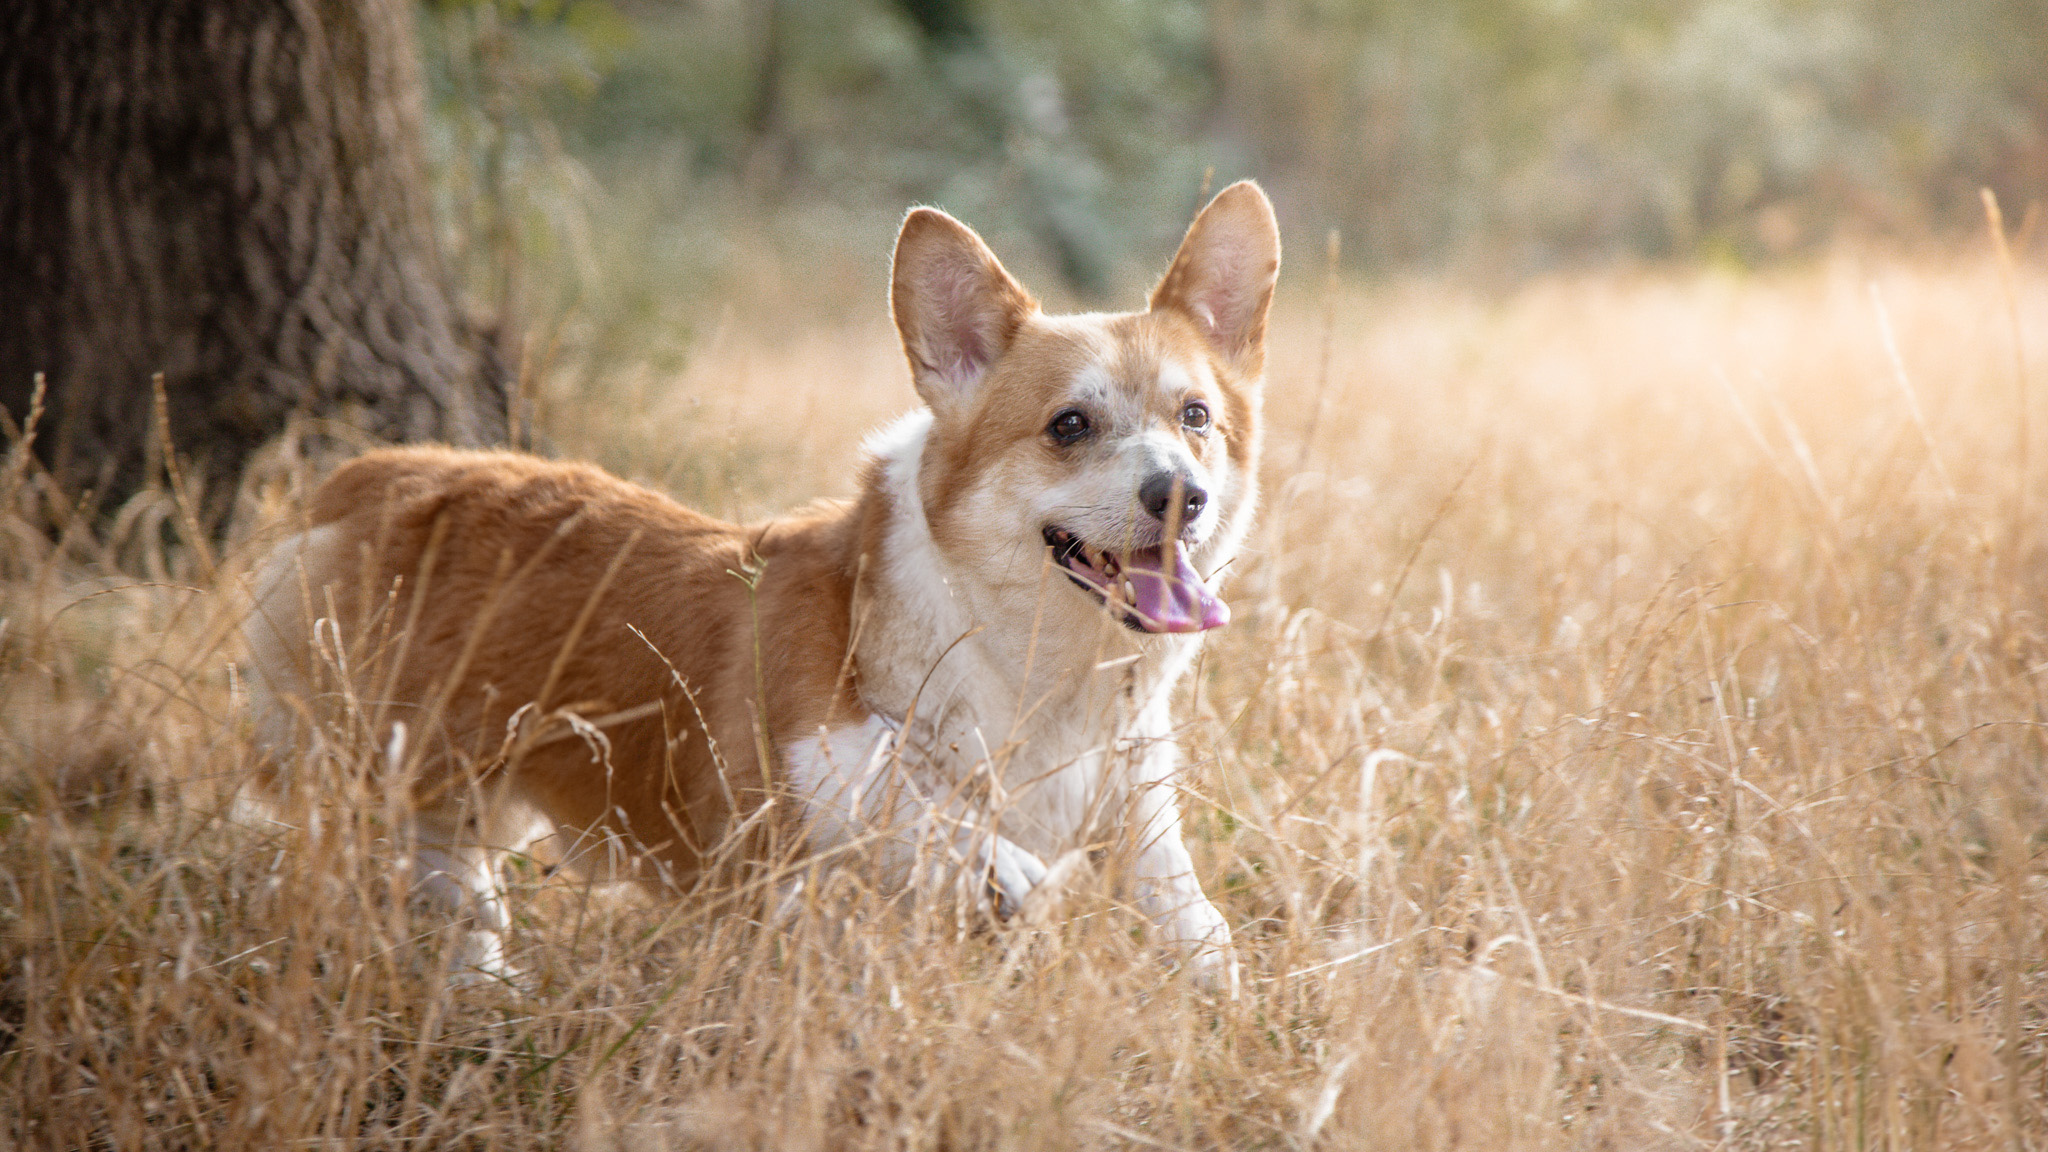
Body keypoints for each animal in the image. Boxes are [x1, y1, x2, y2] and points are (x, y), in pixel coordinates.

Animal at [243, 179, 1277, 988]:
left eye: (1195, 417)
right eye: (1069, 425)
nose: (1178, 496)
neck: (1038, 670)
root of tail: (360, 476)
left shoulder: (1134, 793)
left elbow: (1189, 916)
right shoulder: (798, 801)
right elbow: (928, 826)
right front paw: (998, 874)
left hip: (456, 798)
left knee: (457, 892)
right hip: (343, 772)